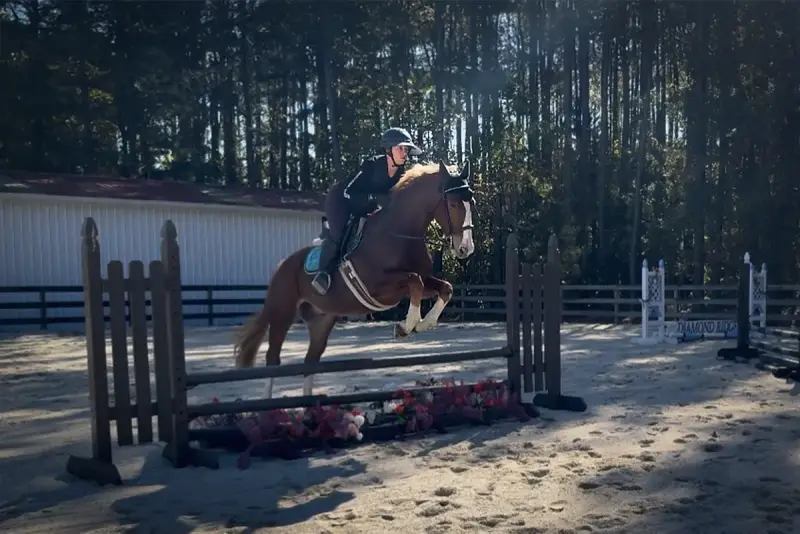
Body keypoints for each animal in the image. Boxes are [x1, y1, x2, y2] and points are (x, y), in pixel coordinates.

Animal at [233, 160, 476, 399]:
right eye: (453, 204)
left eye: (471, 201)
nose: (466, 248)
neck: (398, 234)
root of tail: (281, 265)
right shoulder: (379, 286)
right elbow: (415, 280)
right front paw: (405, 327)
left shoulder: (419, 282)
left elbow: (444, 288)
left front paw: (423, 324)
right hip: (282, 312)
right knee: (272, 358)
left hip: (322, 319)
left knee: (311, 360)